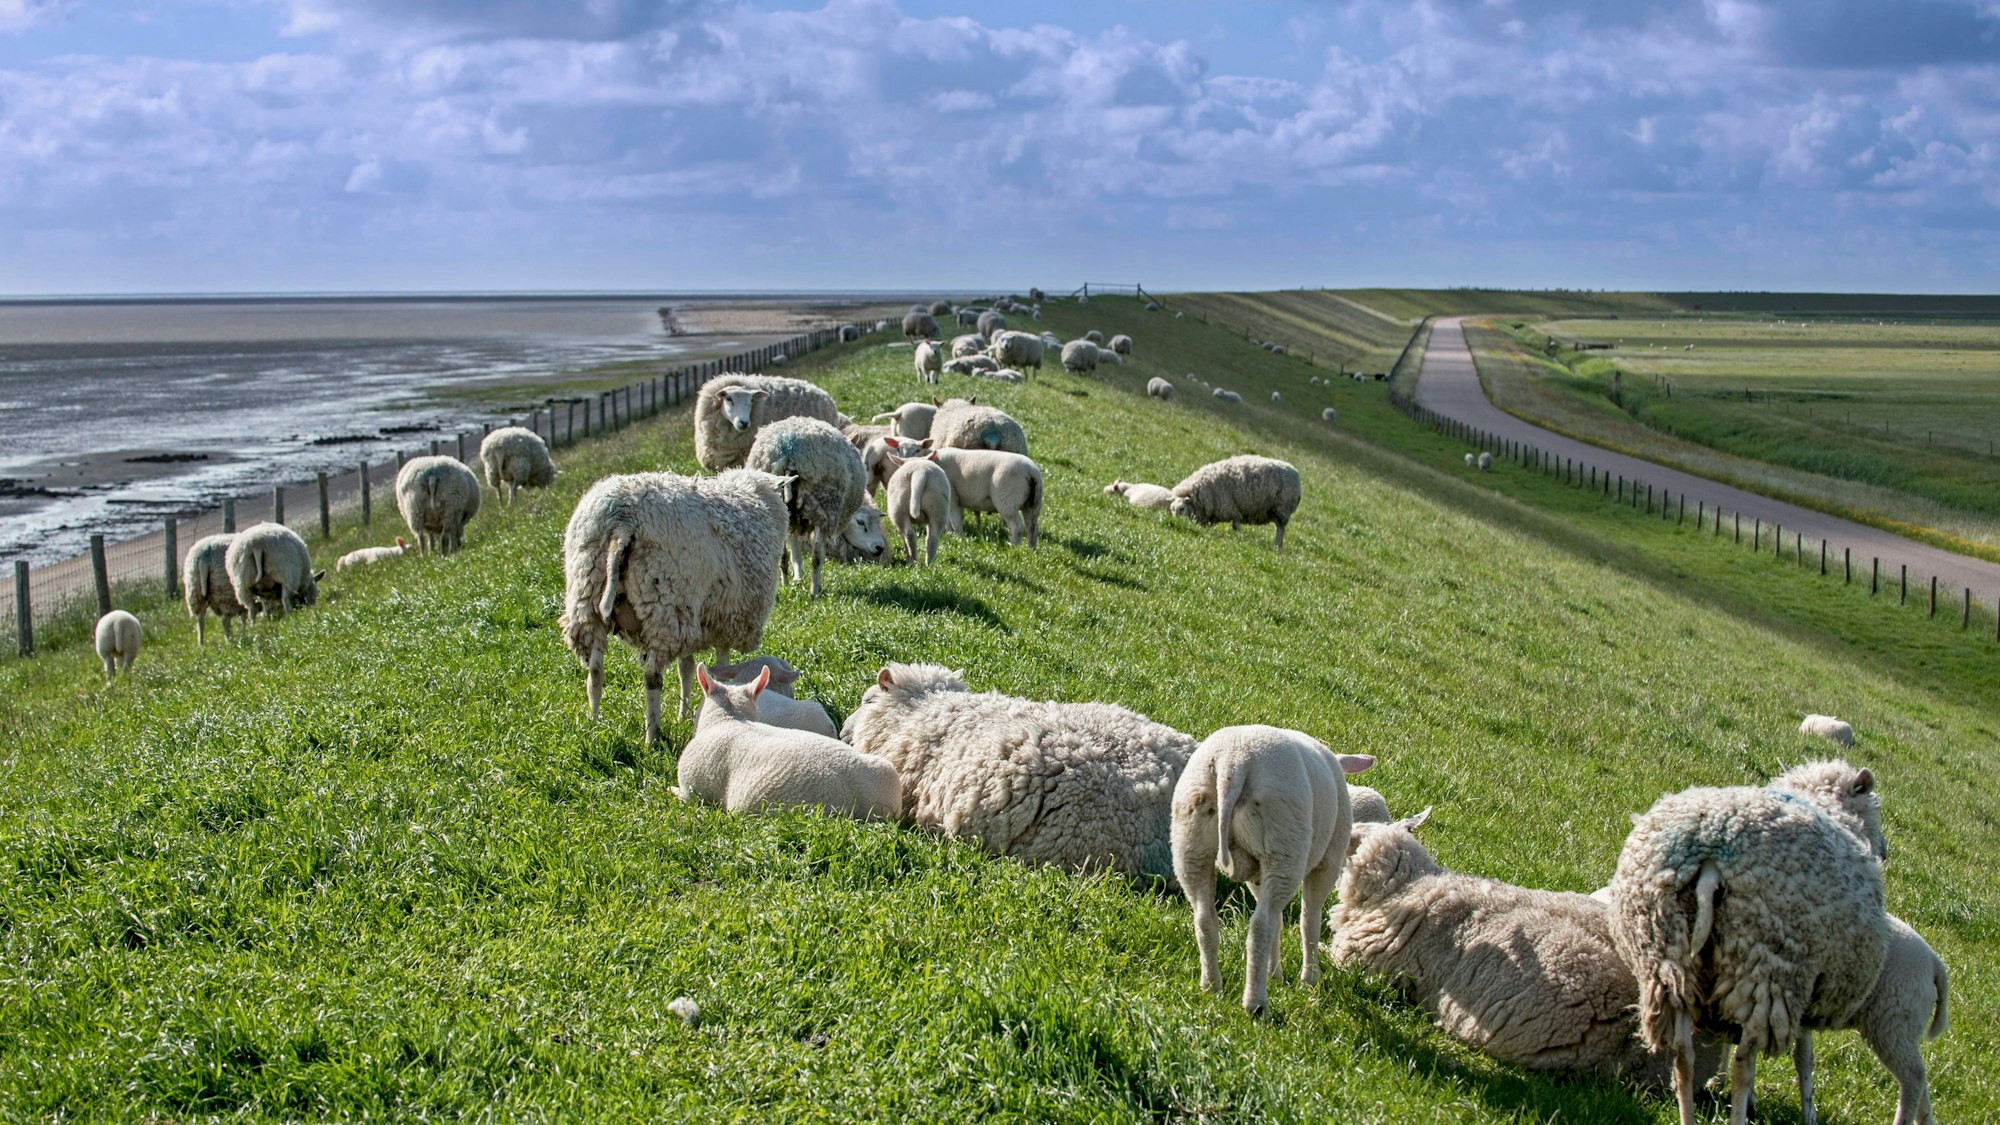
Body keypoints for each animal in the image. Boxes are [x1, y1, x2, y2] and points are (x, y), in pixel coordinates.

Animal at [559, 468, 793, 745]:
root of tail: (623, 519)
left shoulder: (693, 618)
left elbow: (687, 669)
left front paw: (686, 714)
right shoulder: (726, 619)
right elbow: (720, 666)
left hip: (588, 596)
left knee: (595, 671)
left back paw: (593, 726)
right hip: (665, 601)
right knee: (651, 677)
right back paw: (652, 737)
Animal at [1169, 455, 1302, 549]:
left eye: (1181, 509)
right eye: (1172, 510)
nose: (1177, 523)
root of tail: (1296, 474)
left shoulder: (1231, 508)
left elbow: (1236, 525)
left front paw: (1239, 538)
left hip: (1282, 509)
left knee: (1280, 530)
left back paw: (1276, 547)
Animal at [1171, 725, 1374, 1015]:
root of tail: (1233, 762)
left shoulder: (1257, 875)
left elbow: (1280, 920)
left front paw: (1275, 972)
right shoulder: (1327, 863)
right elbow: (1309, 920)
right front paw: (1310, 978)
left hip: (1190, 840)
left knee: (1205, 919)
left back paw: (1212, 986)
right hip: (1283, 845)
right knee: (1261, 925)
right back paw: (1256, 1004)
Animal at [1606, 759, 1892, 1125]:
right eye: (1873, 810)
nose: (1884, 850)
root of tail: (1711, 855)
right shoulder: (1805, 984)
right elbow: (1805, 1057)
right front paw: (1808, 1112)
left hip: (1668, 956)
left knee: (1683, 1052)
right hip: (1768, 962)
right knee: (1744, 1059)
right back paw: (1740, 1112)